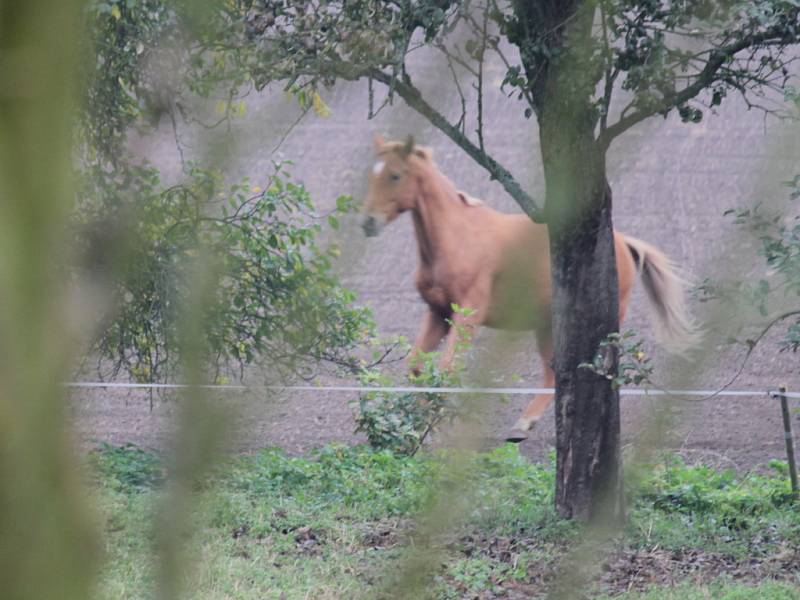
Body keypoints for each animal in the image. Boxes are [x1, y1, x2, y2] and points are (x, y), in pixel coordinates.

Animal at [360, 135, 692, 440]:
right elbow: (417, 367)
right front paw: (414, 425)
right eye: (372, 174)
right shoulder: (438, 314)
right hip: (546, 328)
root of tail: (622, 244)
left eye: (395, 175)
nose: (368, 223)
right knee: (554, 373)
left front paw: (432, 423)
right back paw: (524, 424)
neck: (459, 238)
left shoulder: (468, 315)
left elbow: (446, 367)